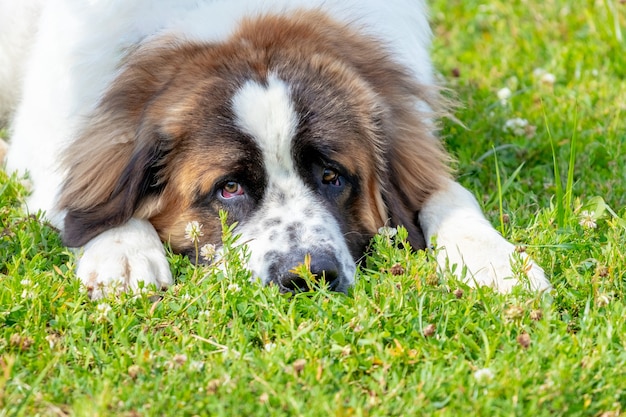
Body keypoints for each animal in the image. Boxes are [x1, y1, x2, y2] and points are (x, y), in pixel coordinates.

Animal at [0, 0, 544, 300]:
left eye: (332, 177)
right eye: (229, 188)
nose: (308, 276)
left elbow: (447, 194)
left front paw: (495, 261)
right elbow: (87, 204)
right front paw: (124, 254)